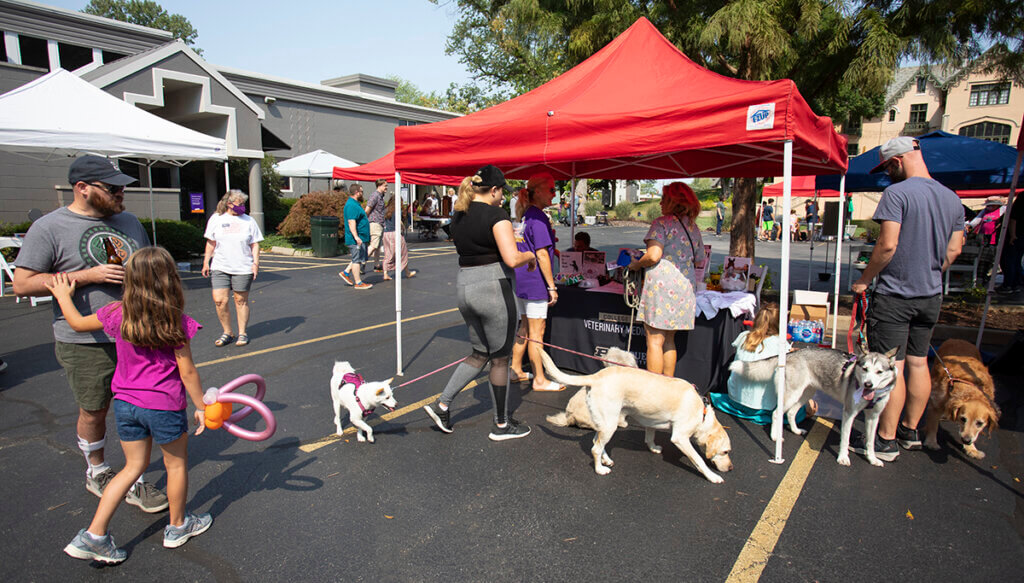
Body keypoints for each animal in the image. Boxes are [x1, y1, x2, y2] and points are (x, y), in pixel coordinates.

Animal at [540, 348, 733, 479]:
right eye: (725, 452)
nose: (731, 469)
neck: (702, 411)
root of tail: (596, 376)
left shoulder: (651, 421)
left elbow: (650, 436)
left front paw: (653, 447)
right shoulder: (680, 437)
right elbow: (699, 460)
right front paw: (713, 477)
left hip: (605, 421)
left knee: (597, 441)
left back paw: (606, 459)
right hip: (610, 423)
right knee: (595, 448)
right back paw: (600, 468)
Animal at [729, 346, 897, 463]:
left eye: (879, 372)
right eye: (865, 369)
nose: (868, 384)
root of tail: (792, 353)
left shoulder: (873, 417)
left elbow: (870, 442)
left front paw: (872, 459)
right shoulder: (849, 413)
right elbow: (845, 438)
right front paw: (843, 458)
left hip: (805, 393)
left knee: (791, 413)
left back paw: (796, 430)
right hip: (792, 394)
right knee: (776, 413)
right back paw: (775, 437)